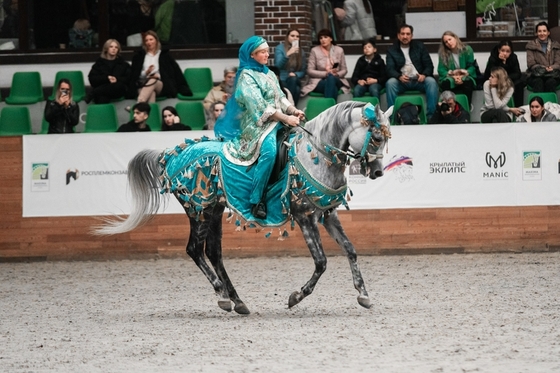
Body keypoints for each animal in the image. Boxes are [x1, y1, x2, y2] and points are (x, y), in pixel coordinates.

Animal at [94, 100, 394, 312]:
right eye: (377, 138)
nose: (378, 172)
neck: (315, 155)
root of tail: (172, 155)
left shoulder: (327, 214)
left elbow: (351, 250)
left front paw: (363, 295)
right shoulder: (305, 217)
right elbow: (321, 262)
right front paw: (296, 296)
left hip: (214, 210)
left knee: (213, 253)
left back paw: (236, 301)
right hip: (198, 209)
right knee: (195, 250)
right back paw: (221, 295)